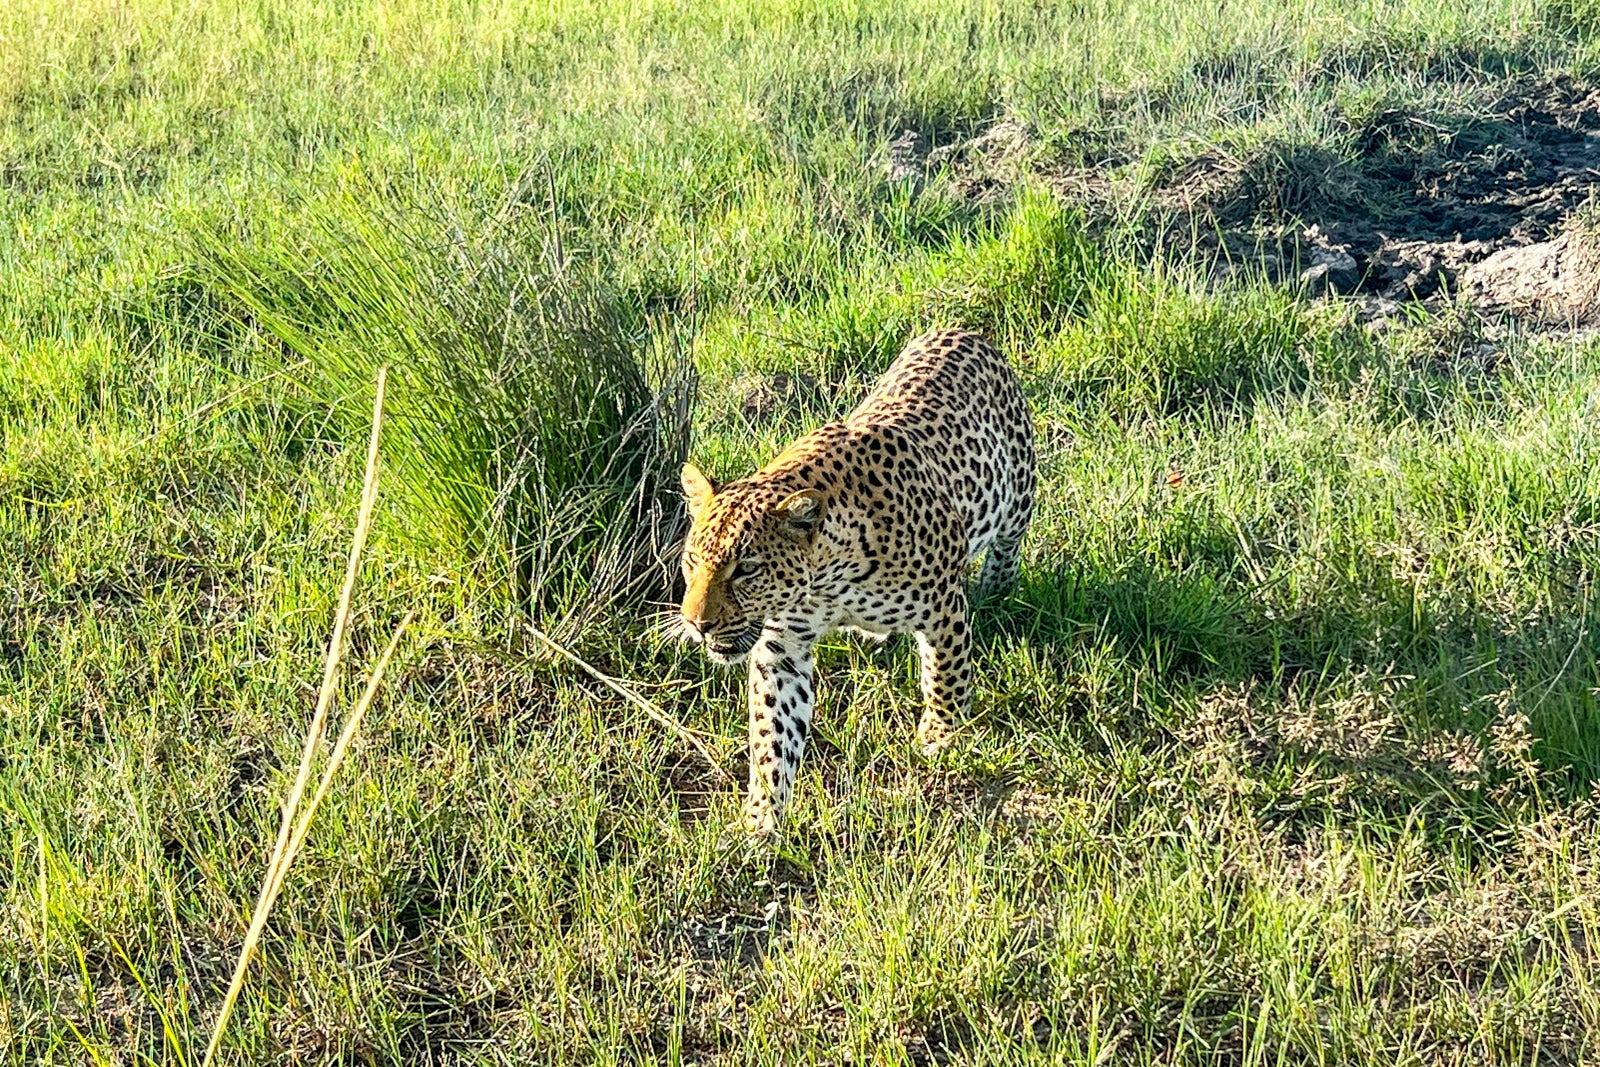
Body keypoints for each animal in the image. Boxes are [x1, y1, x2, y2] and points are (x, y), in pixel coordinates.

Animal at [672, 327, 1024, 831]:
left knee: (1009, 543)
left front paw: (940, 734)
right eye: (692, 561)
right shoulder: (781, 649)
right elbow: (773, 736)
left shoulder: (942, 607)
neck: (828, 581)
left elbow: (946, 673)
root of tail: (960, 329)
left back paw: (997, 588)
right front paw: (762, 819)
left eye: (747, 569)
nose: (697, 625)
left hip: (1016, 489)